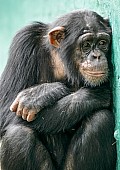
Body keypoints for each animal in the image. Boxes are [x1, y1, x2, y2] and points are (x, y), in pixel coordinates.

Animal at [0, 9, 116, 169]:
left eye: (103, 43)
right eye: (86, 45)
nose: (97, 56)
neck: (60, 62)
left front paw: (36, 96)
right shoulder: (24, 41)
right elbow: (5, 110)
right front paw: (43, 92)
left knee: (100, 120)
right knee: (18, 136)